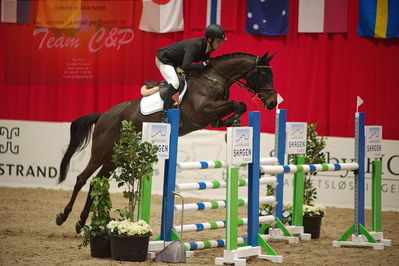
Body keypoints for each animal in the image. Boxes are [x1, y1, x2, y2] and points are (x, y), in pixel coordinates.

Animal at [56, 50, 278, 233]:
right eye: (263, 75)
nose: (272, 102)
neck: (212, 79)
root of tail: (103, 115)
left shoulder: (211, 114)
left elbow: (237, 106)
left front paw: (232, 122)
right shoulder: (202, 111)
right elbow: (237, 104)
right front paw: (234, 121)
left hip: (114, 157)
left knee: (97, 181)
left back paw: (81, 223)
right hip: (101, 152)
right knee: (82, 179)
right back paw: (63, 216)